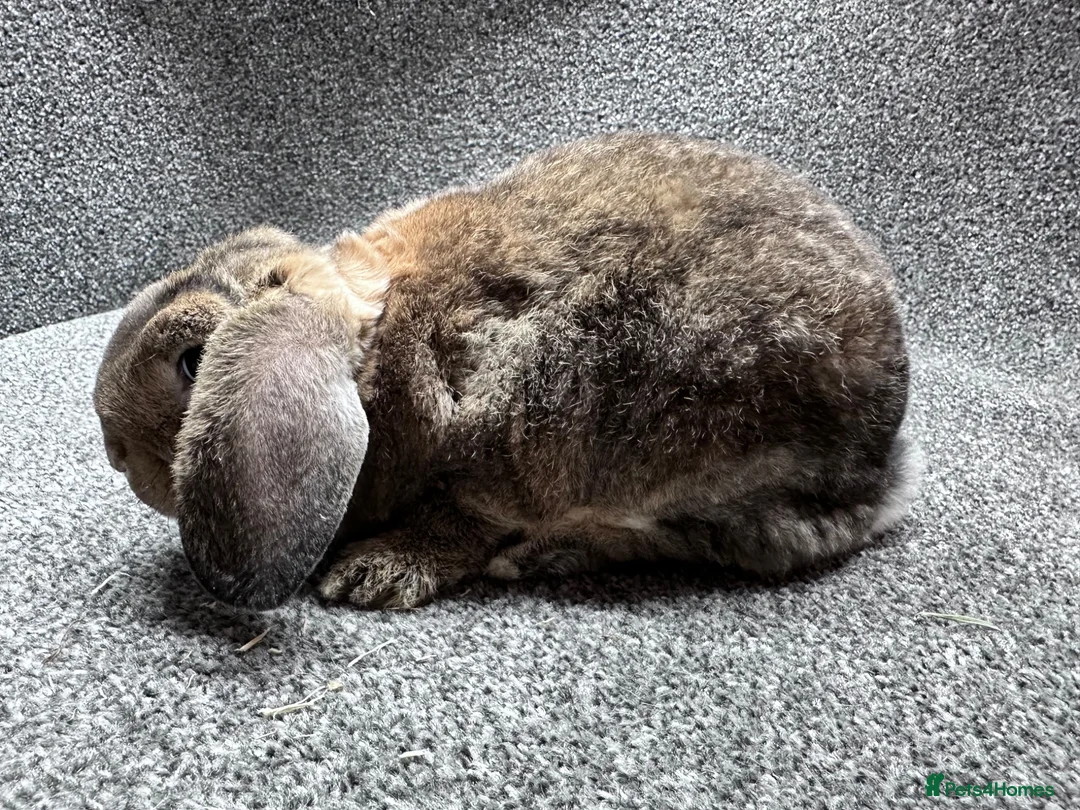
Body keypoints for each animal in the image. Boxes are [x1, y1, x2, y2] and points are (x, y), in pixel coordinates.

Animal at [93, 132, 918, 611]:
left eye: (191, 362)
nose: (110, 447)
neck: (374, 351)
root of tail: (885, 462)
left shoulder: (503, 440)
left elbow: (469, 514)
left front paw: (374, 574)